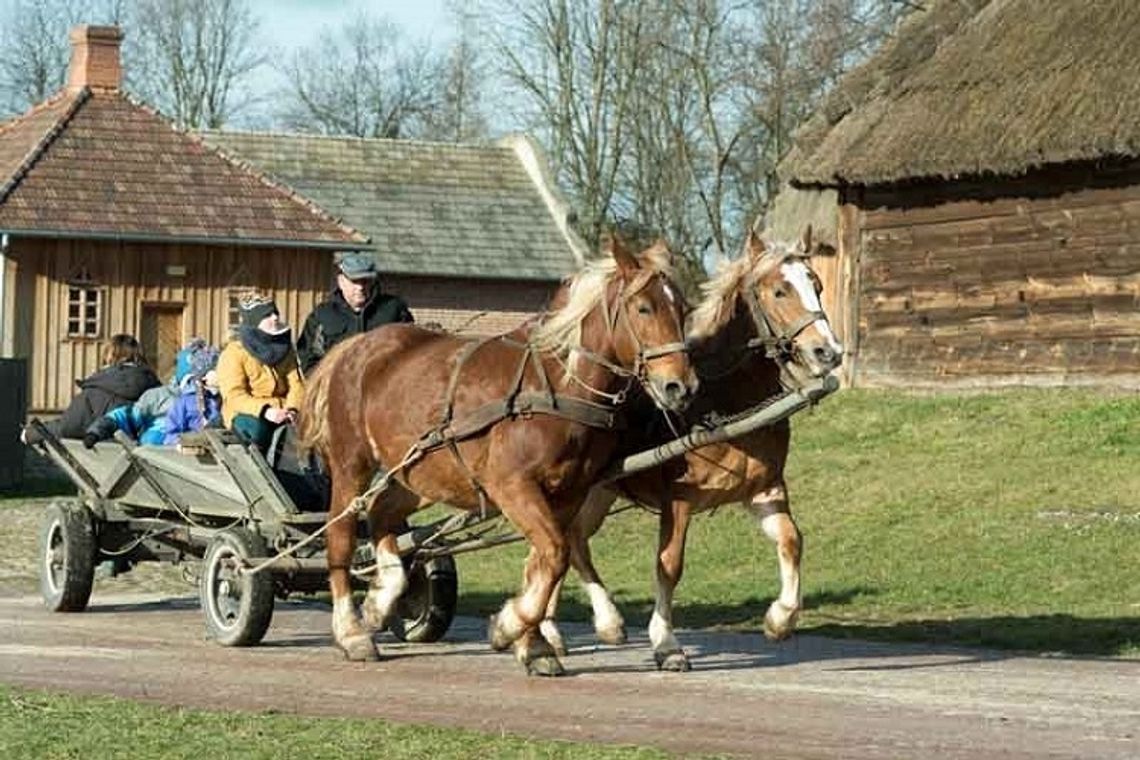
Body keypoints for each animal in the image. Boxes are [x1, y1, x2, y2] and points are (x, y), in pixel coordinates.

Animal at [300, 239, 693, 679]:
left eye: (682, 308)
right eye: (643, 308)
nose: (680, 386)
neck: (555, 385)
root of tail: (357, 346)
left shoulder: (569, 492)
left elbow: (545, 562)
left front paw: (535, 645)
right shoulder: (511, 485)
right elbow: (554, 555)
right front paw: (509, 628)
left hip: (419, 472)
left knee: (383, 514)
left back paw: (381, 597)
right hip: (351, 463)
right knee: (341, 538)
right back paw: (351, 631)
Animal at [542, 227, 848, 669]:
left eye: (817, 284)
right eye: (779, 290)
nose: (829, 352)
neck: (724, 397)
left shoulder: (764, 489)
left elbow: (792, 540)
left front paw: (780, 618)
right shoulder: (679, 500)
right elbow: (669, 565)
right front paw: (666, 642)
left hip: (597, 492)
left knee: (572, 542)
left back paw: (586, 625)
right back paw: (560, 628)